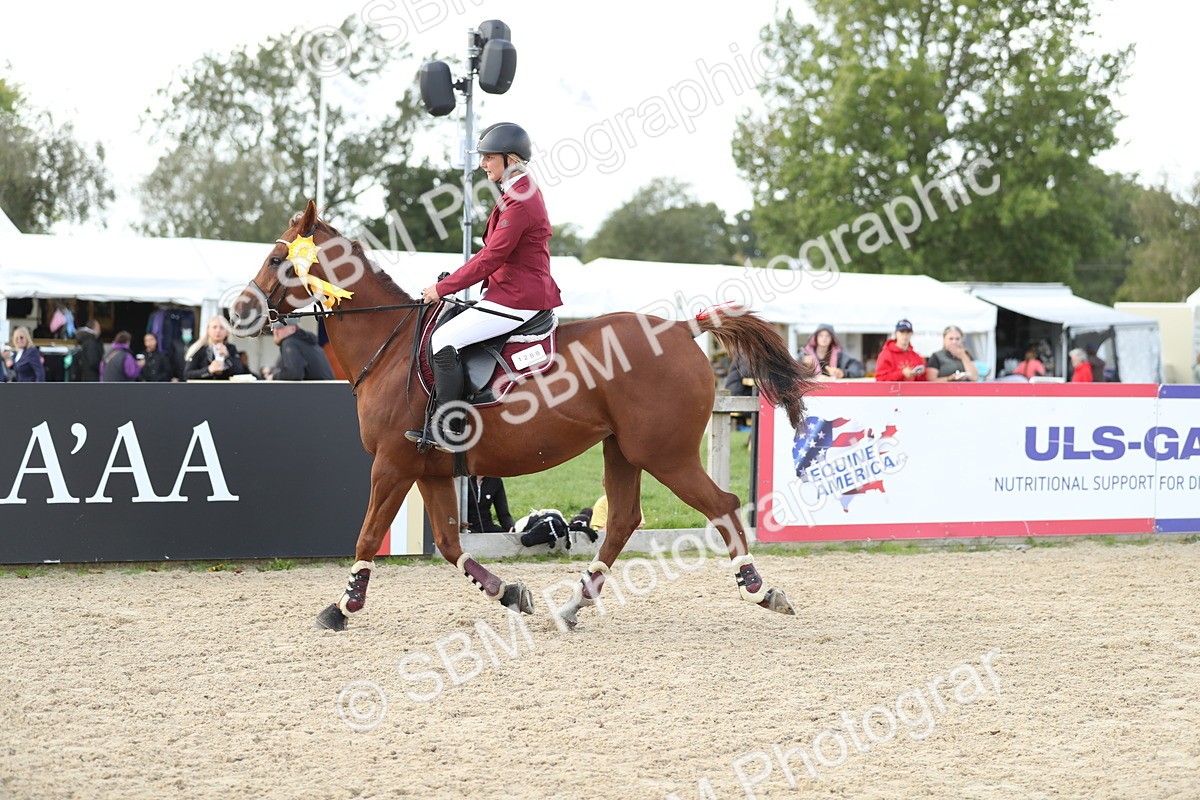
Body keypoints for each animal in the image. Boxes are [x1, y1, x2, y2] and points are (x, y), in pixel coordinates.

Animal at [232, 201, 817, 631]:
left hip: (664, 453)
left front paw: (343, 606)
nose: (237, 311)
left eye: (280, 258)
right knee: (623, 521)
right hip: (622, 451)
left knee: (722, 506)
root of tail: (679, 328)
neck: (390, 346)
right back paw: (574, 605)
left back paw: (761, 590)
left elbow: (368, 534)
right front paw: (510, 592)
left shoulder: (392, 465)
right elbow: (449, 545)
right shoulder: (431, 470)